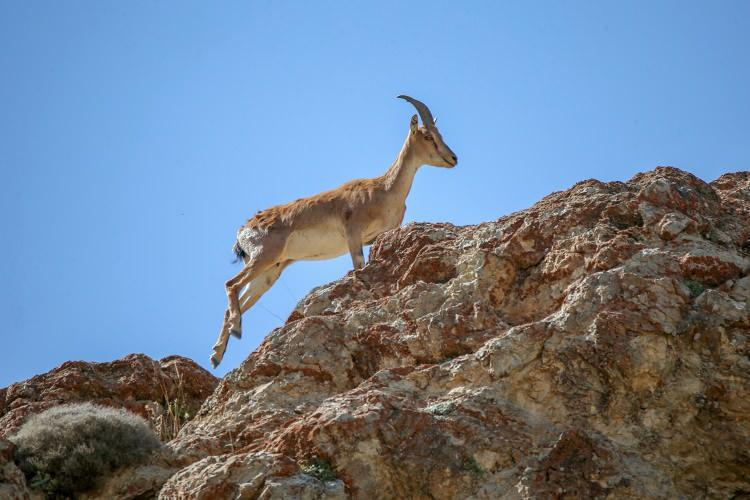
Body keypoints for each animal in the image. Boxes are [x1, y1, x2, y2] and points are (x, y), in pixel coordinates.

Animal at [212, 95, 458, 368]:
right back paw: (235, 331)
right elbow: (358, 267)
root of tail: (244, 230)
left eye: (439, 133)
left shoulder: (377, 237)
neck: (384, 190)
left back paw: (217, 355)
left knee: (235, 301)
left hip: (270, 272)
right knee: (230, 284)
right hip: (264, 256)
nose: (453, 158)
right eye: (427, 135)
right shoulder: (353, 235)